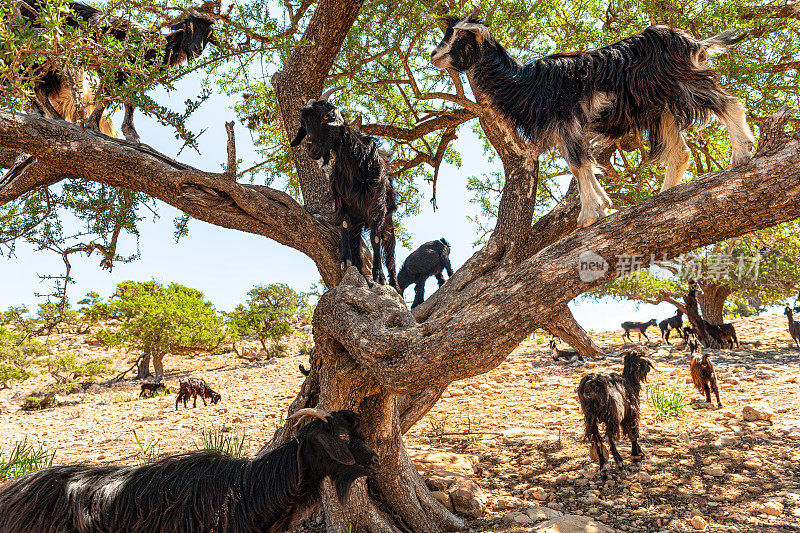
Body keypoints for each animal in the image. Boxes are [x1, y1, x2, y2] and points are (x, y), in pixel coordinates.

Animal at [16, 0, 216, 141]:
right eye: (189, 26)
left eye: (208, 34)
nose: (197, 49)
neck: (150, 46)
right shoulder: (117, 71)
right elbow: (108, 97)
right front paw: (97, 125)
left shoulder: (131, 77)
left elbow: (127, 100)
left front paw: (128, 132)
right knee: (24, 79)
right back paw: (35, 109)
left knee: (38, 86)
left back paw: (55, 116)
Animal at [290, 85, 400, 288]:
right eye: (304, 124)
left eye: (326, 117)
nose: (311, 149)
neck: (355, 165)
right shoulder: (342, 200)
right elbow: (344, 225)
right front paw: (346, 261)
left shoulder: (376, 202)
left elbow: (376, 237)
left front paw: (378, 275)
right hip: (359, 219)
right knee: (356, 239)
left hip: (388, 219)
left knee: (390, 250)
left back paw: (394, 285)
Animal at [434, 10, 752, 227]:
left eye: (459, 36)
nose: (435, 55)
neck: (525, 81)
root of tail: (692, 43)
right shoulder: (565, 128)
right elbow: (581, 166)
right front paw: (602, 205)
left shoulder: (565, 121)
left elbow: (578, 164)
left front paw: (588, 214)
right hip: (660, 108)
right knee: (681, 152)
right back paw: (663, 195)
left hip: (683, 84)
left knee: (728, 103)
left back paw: (741, 154)